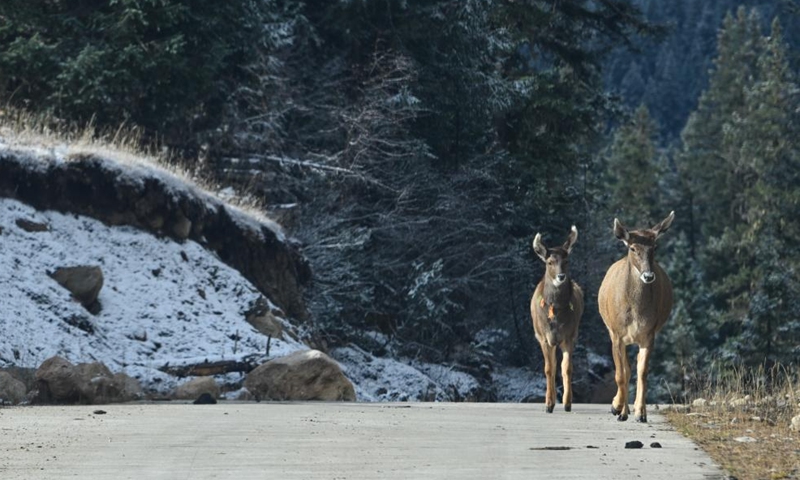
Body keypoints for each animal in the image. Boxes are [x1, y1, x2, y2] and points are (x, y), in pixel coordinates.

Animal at [532, 228, 580, 412]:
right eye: (550, 262)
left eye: (566, 260)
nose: (561, 276)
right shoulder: (544, 338)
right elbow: (548, 369)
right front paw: (548, 404)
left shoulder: (570, 336)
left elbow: (566, 368)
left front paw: (567, 403)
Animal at [600, 212, 676, 422]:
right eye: (633, 248)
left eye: (655, 247)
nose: (648, 276)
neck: (635, 312)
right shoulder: (617, 333)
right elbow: (620, 374)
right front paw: (617, 407)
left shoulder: (649, 334)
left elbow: (642, 372)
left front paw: (641, 413)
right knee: (624, 370)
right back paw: (620, 410)